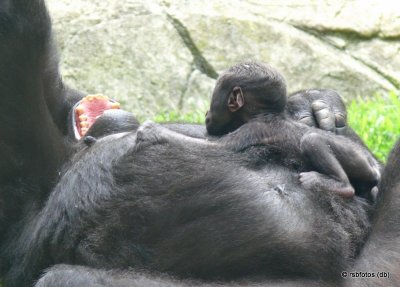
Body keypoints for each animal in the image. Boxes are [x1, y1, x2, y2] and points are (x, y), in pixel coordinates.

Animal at [208, 62, 380, 198]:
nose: (207, 115)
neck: (265, 113)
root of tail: (374, 167)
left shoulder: (250, 129)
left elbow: (220, 145)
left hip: (360, 160)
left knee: (312, 140)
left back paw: (341, 186)